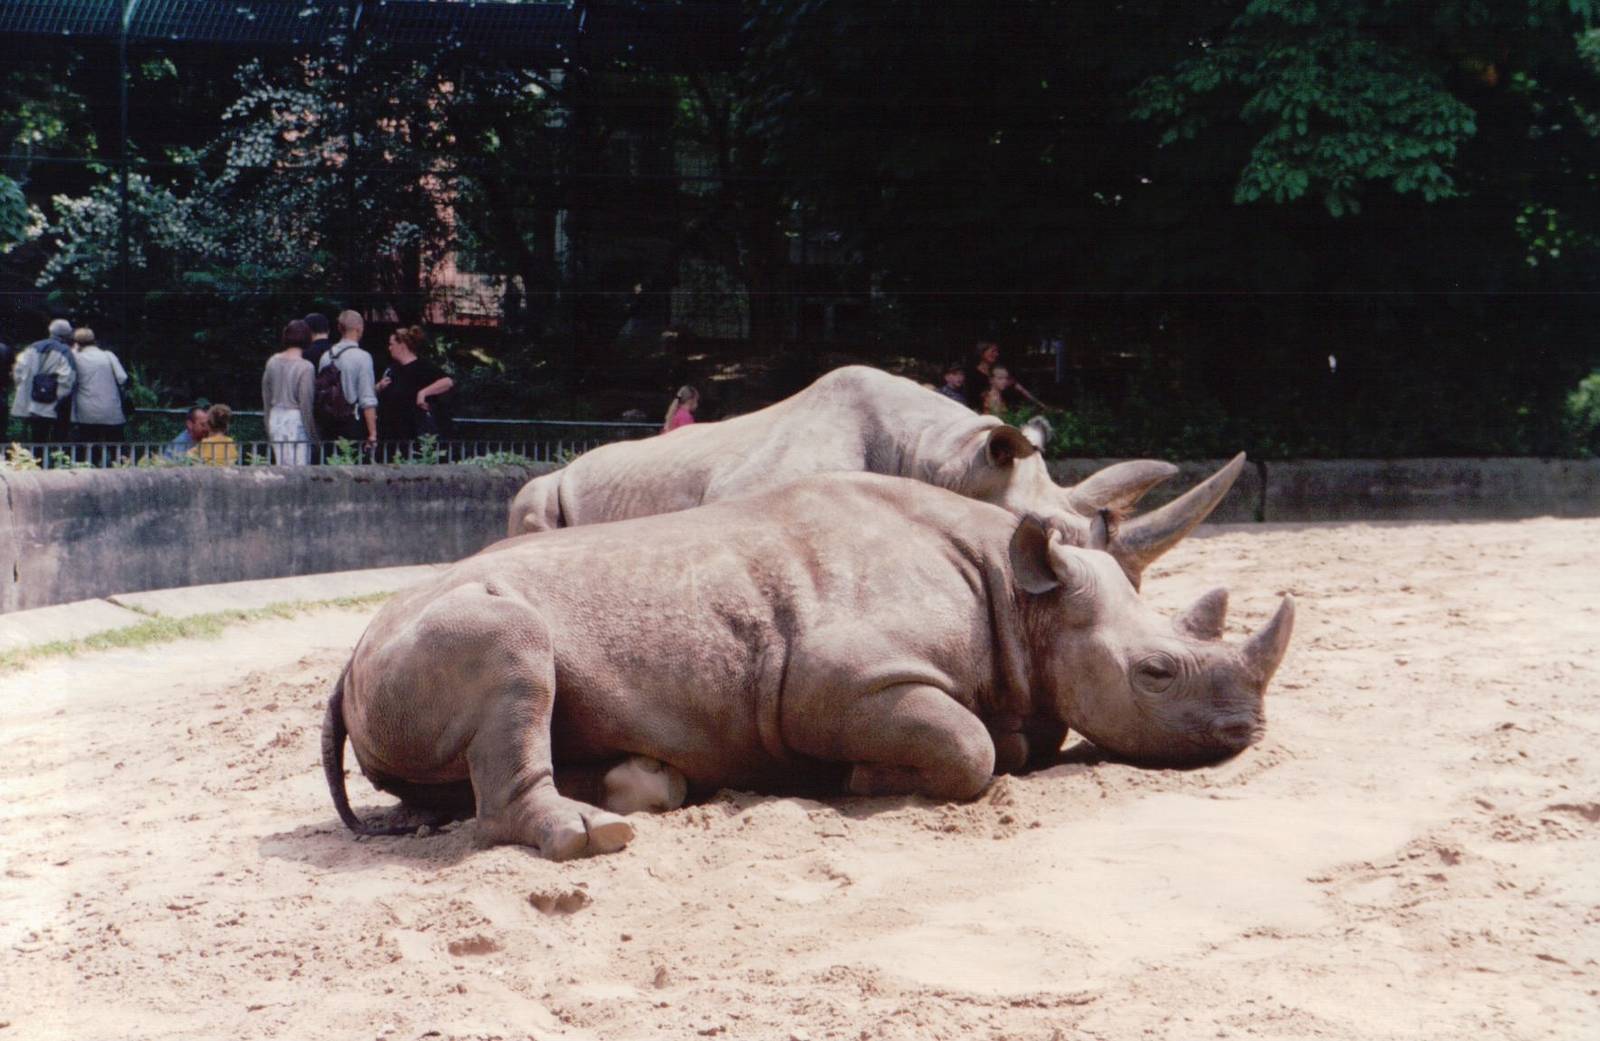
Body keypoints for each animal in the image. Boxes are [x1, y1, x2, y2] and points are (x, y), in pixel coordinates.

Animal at [325, 472, 1294, 860]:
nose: (1248, 731)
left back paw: (641, 785)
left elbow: (1009, 742)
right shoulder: (836, 677)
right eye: (1156, 672)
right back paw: (593, 837)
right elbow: (972, 748)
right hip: (441, 624)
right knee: (512, 646)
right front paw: (860, 777)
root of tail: (348, 657)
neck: (1027, 596)